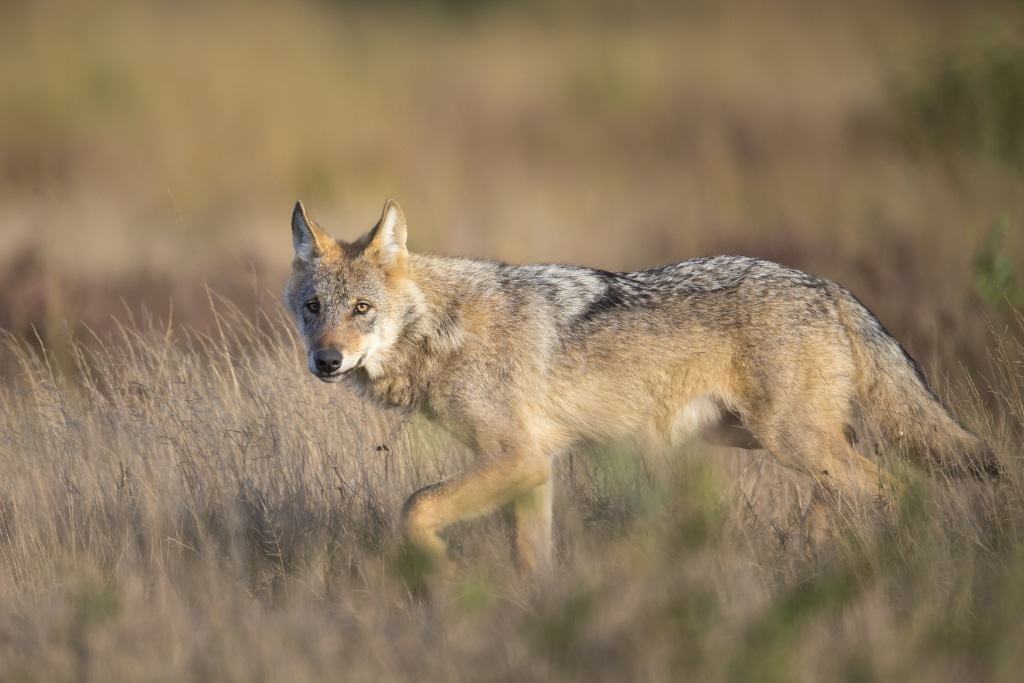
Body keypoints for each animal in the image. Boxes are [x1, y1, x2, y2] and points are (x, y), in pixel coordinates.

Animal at [284, 199, 999, 574]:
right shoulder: (535, 467)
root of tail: (830, 288)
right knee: (847, 490)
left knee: (893, 489)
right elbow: (531, 556)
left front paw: (437, 570)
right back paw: (813, 557)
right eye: (314, 307)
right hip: (778, 442)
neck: (442, 327)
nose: (326, 362)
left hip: (787, 440)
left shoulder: (517, 457)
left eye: (362, 310)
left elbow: (415, 506)